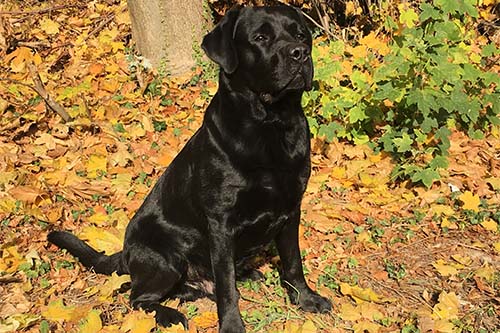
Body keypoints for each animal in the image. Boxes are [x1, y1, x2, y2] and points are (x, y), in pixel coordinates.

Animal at [48, 5, 332, 332]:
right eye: (260, 37)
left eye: (301, 35)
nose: (300, 53)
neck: (271, 125)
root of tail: (126, 254)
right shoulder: (221, 222)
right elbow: (226, 287)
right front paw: (232, 325)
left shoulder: (291, 208)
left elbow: (293, 262)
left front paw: (307, 300)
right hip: (164, 259)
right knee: (138, 298)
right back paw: (170, 314)